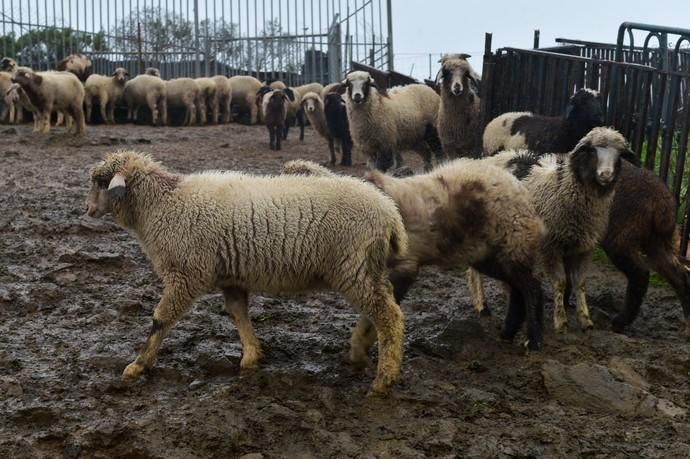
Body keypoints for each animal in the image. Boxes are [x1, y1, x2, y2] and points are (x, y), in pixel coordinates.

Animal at [86, 151, 408, 398]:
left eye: (101, 182)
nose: (86, 209)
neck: (161, 203)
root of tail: (389, 212)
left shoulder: (185, 273)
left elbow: (160, 319)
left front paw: (138, 364)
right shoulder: (231, 275)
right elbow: (238, 314)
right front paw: (252, 355)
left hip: (353, 266)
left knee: (388, 315)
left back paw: (383, 380)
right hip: (364, 269)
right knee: (384, 307)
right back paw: (361, 350)